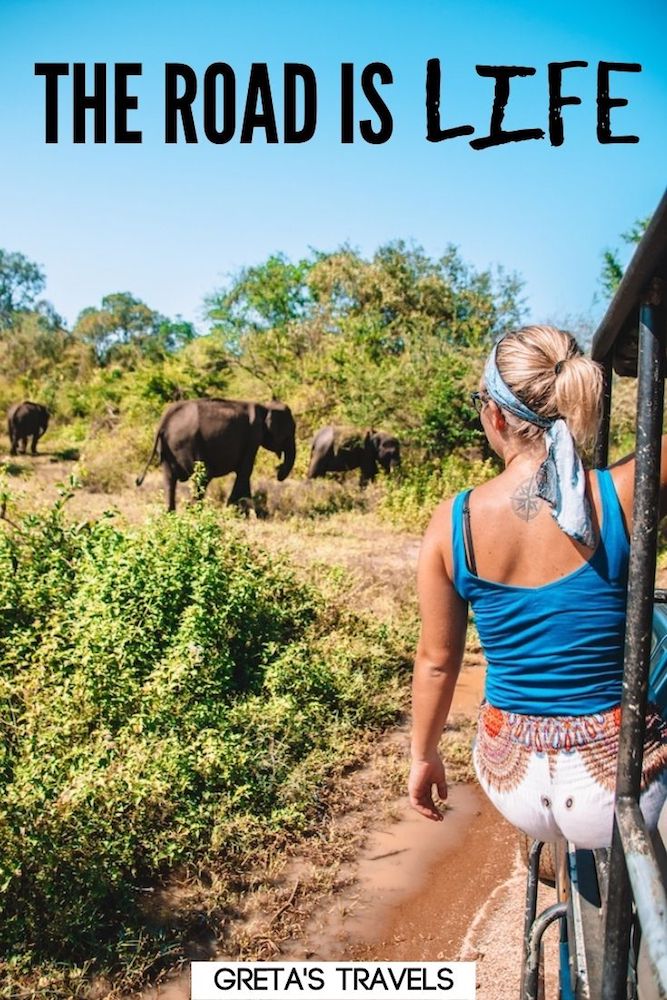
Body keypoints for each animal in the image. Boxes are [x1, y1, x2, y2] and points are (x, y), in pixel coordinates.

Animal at [137, 396, 296, 512]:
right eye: (289, 434)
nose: (278, 470)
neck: (266, 407)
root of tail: (165, 420)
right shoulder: (253, 436)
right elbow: (245, 471)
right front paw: (233, 510)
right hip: (186, 443)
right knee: (203, 475)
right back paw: (193, 510)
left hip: (167, 448)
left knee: (170, 478)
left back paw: (171, 513)